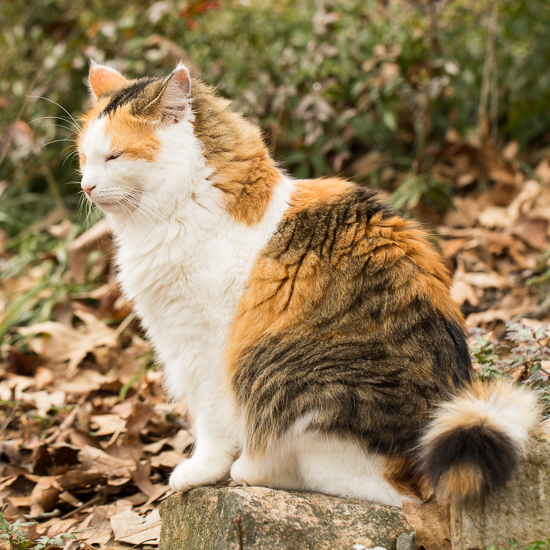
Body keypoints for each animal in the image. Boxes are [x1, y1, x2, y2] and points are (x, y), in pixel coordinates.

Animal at [80, 62, 540, 506]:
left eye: (114, 156)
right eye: (84, 157)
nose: (86, 185)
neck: (181, 209)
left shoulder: (205, 346)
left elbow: (211, 422)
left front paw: (200, 471)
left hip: (294, 384)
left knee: (379, 491)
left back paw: (250, 470)